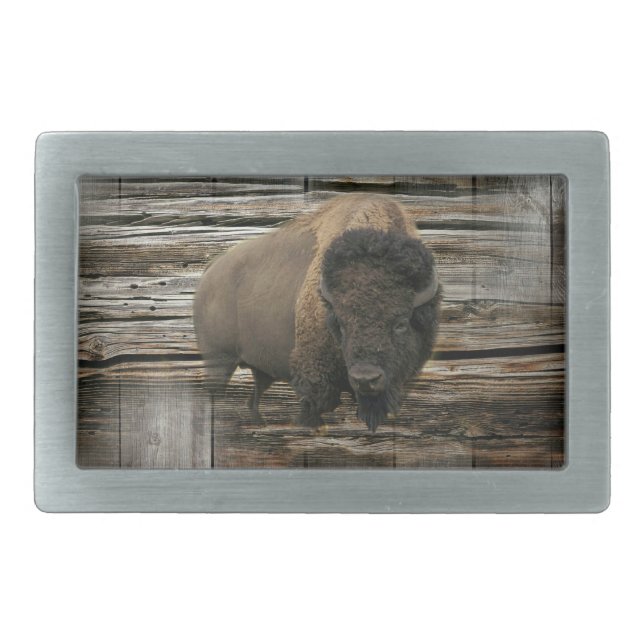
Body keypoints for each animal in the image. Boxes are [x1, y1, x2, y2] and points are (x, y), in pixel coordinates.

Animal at [193, 194, 441, 432]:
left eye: (401, 323)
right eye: (340, 324)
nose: (365, 378)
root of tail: (210, 271)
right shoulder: (315, 379)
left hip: (257, 368)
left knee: (253, 399)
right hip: (219, 361)